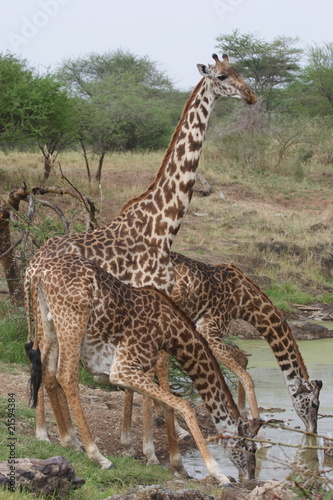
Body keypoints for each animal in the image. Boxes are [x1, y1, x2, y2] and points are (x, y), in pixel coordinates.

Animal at [25, 53, 256, 446]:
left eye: (240, 71)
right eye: (224, 76)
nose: (251, 95)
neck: (163, 223)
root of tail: (30, 265)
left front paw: (135, 434)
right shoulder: (152, 293)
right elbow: (157, 364)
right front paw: (151, 439)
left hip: (46, 315)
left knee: (43, 360)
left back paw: (53, 431)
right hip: (56, 315)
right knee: (47, 363)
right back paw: (49, 433)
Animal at [25, 254, 262, 484]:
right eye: (249, 447)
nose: (250, 478)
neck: (171, 331)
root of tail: (39, 274)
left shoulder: (130, 369)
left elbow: (164, 404)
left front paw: (174, 465)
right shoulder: (123, 368)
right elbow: (184, 405)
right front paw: (217, 473)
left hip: (47, 324)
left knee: (48, 374)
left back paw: (70, 442)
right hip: (72, 322)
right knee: (66, 376)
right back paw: (98, 456)